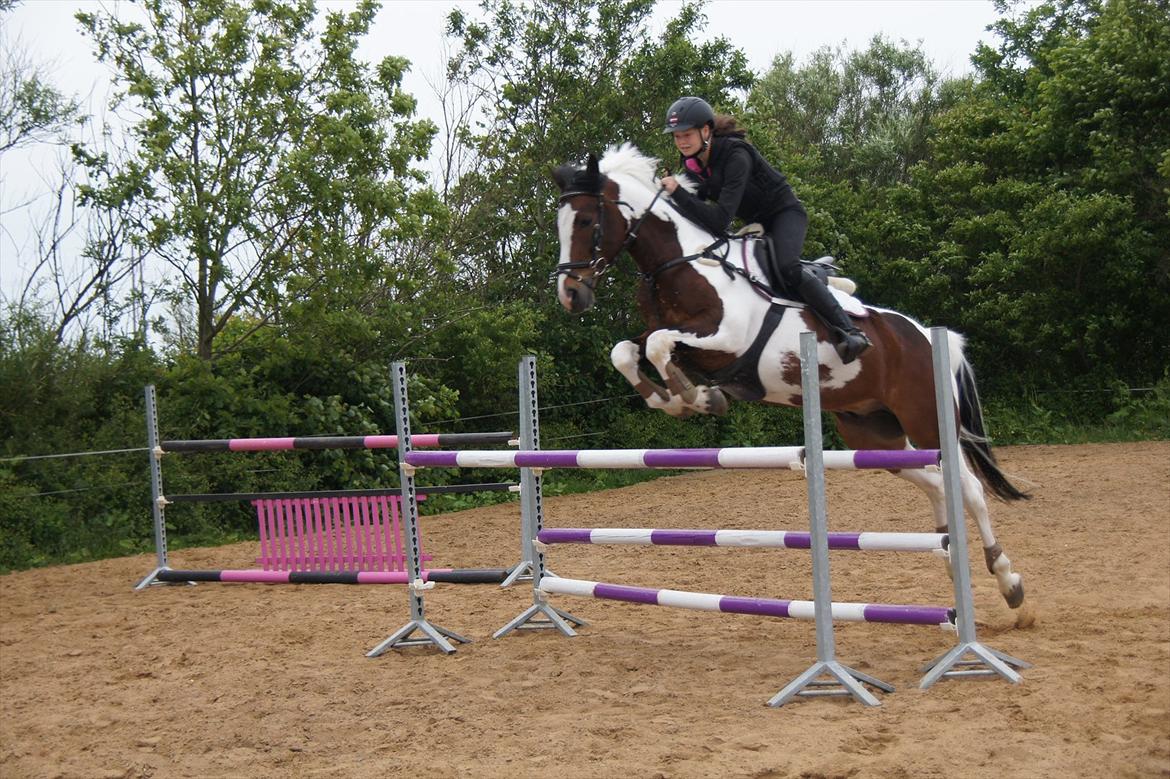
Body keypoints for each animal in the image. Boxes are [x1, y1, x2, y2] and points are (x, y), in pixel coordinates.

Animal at [551, 143, 1027, 610]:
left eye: (588, 220)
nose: (570, 295)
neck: (680, 264)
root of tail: (930, 336)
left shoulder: (726, 338)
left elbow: (655, 345)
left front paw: (696, 397)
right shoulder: (678, 338)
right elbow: (628, 351)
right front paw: (678, 399)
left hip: (927, 420)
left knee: (969, 488)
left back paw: (1007, 579)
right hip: (874, 434)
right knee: (936, 484)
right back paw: (951, 562)